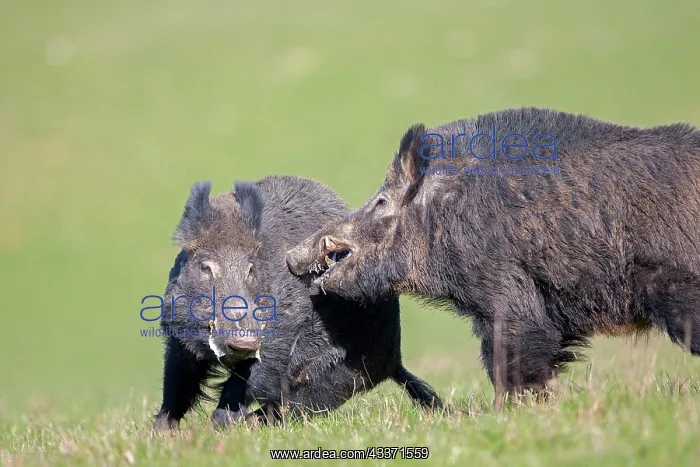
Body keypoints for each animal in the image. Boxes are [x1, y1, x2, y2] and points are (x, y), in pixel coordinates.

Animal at [152, 175, 442, 431]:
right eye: (205, 267)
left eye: (250, 269)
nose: (244, 339)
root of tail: (393, 361)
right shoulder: (179, 343)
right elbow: (176, 384)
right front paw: (161, 432)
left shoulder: (281, 336)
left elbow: (245, 383)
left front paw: (215, 430)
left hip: (338, 376)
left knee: (294, 406)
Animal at [285, 107, 700, 405]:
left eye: (382, 201)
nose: (290, 256)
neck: (442, 215)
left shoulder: (507, 293)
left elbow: (510, 359)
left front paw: (512, 411)